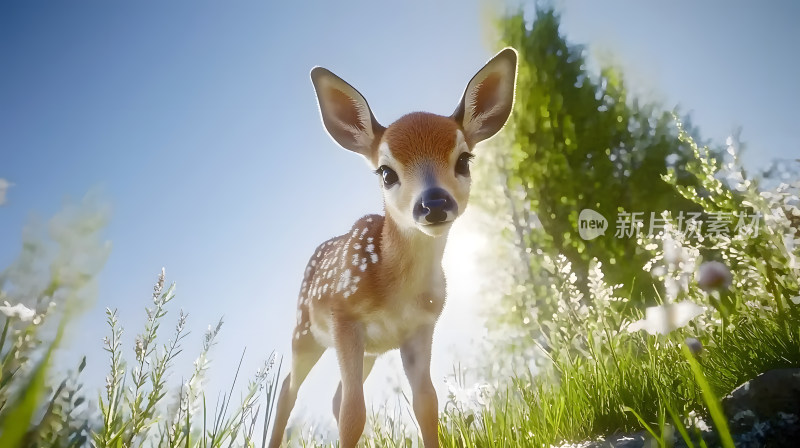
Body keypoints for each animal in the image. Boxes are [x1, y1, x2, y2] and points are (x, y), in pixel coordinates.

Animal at [268, 47, 520, 446]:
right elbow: (354, 413)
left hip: (367, 351)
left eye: (464, 160)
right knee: (289, 391)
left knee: (335, 396)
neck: (394, 290)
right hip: (304, 331)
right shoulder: (344, 316)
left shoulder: (422, 326)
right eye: (386, 173)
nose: (433, 203)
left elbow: (426, 403)